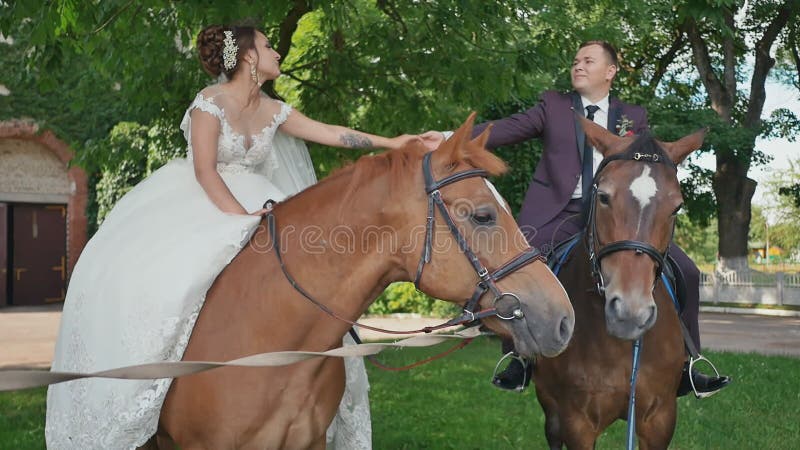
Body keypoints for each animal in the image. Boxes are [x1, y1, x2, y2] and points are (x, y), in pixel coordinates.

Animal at [536, 117, 704, 450]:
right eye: (603, 197)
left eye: (677, 207)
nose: (630, 313)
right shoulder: (577, 423)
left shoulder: (659, 419)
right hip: (551, 411)